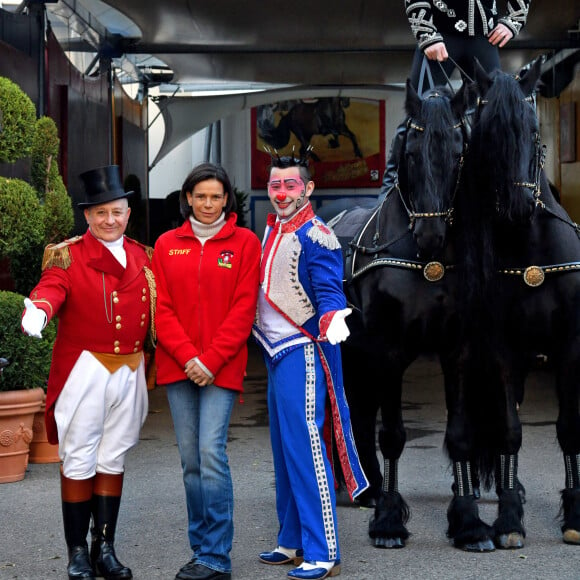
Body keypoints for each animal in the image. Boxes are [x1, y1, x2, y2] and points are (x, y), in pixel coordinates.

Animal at [334, 79, 496, 552]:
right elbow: (392, 435)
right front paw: (389, 521)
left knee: (361, 410)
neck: (427, 263)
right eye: (409, 152)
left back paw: (367, 487)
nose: (430, 234)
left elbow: (459, 435)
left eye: (459, 152)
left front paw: (469, 522)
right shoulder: (388, 350)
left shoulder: (457, 349)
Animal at [456, 59, 580, 548]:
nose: (516, 205)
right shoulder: (504, 351)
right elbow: (509, 430)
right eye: (486, 130)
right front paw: (508, 520)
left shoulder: (567, 349)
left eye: (532, 129)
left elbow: (567, 429)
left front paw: (574, 517)